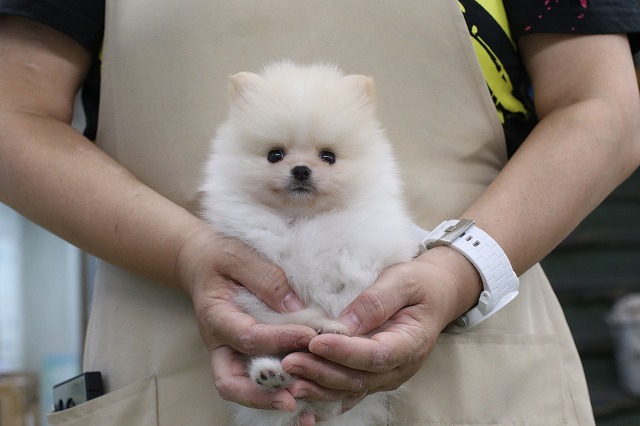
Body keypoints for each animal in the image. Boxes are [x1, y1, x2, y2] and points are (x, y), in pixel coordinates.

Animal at [202, 60, 418, 426]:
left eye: (328, 156)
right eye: (275, 155)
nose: (301, 170)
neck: (302, 219)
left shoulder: (365, 249)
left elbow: (349, 285)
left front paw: (341, 326)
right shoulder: (255, 289)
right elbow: (290, 313)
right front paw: (320, 323)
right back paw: (271, 374)